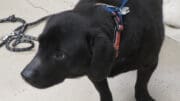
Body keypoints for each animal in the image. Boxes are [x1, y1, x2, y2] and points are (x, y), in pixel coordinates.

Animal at [21, 0, 165, 100]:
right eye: (40, 43)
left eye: (60, 54)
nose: (24, 75)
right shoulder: (93, 70)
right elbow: (104, 91)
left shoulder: (150, 64)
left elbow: (141, 84)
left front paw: (143, 97)